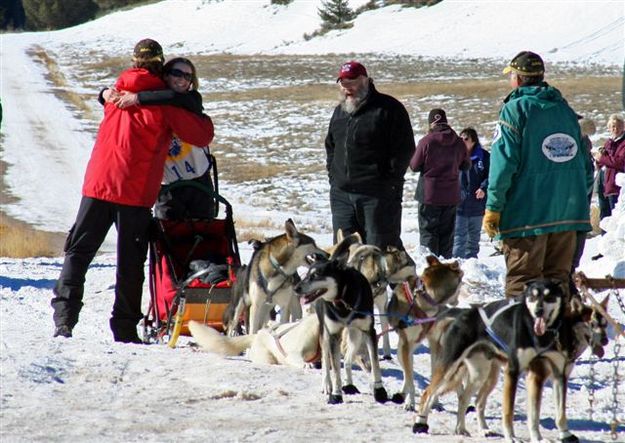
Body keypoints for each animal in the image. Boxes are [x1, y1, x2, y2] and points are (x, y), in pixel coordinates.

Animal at [386, 255, 464, 412]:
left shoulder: (437, 344)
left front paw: (434, 401)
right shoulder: (407, 344)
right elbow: (410, 379)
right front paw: (410, 402)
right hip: (404, 349)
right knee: (407, 372)